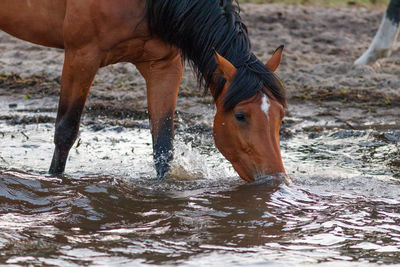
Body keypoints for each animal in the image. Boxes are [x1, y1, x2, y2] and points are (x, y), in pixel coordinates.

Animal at [0, 0, 288, 183]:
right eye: (240, 115)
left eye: (281, 115)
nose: (274, 178)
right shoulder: (81, 56)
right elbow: (66, 132)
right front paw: (54, 180)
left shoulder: (164, 66)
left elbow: (163, 146)